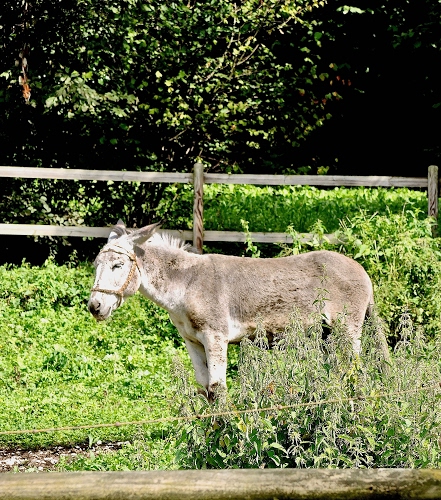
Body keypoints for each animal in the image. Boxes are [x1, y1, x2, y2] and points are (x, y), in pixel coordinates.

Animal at [88, 220, 387, 400]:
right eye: (95, 265)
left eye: (117, 266)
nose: (94, 307)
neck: (186, 284)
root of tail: (362, 270)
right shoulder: (192, 341)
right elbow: (205, 388)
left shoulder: (215, 337)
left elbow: (218, 388)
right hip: (327, 335)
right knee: (339, 370)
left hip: (347, 330)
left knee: (355, 370)